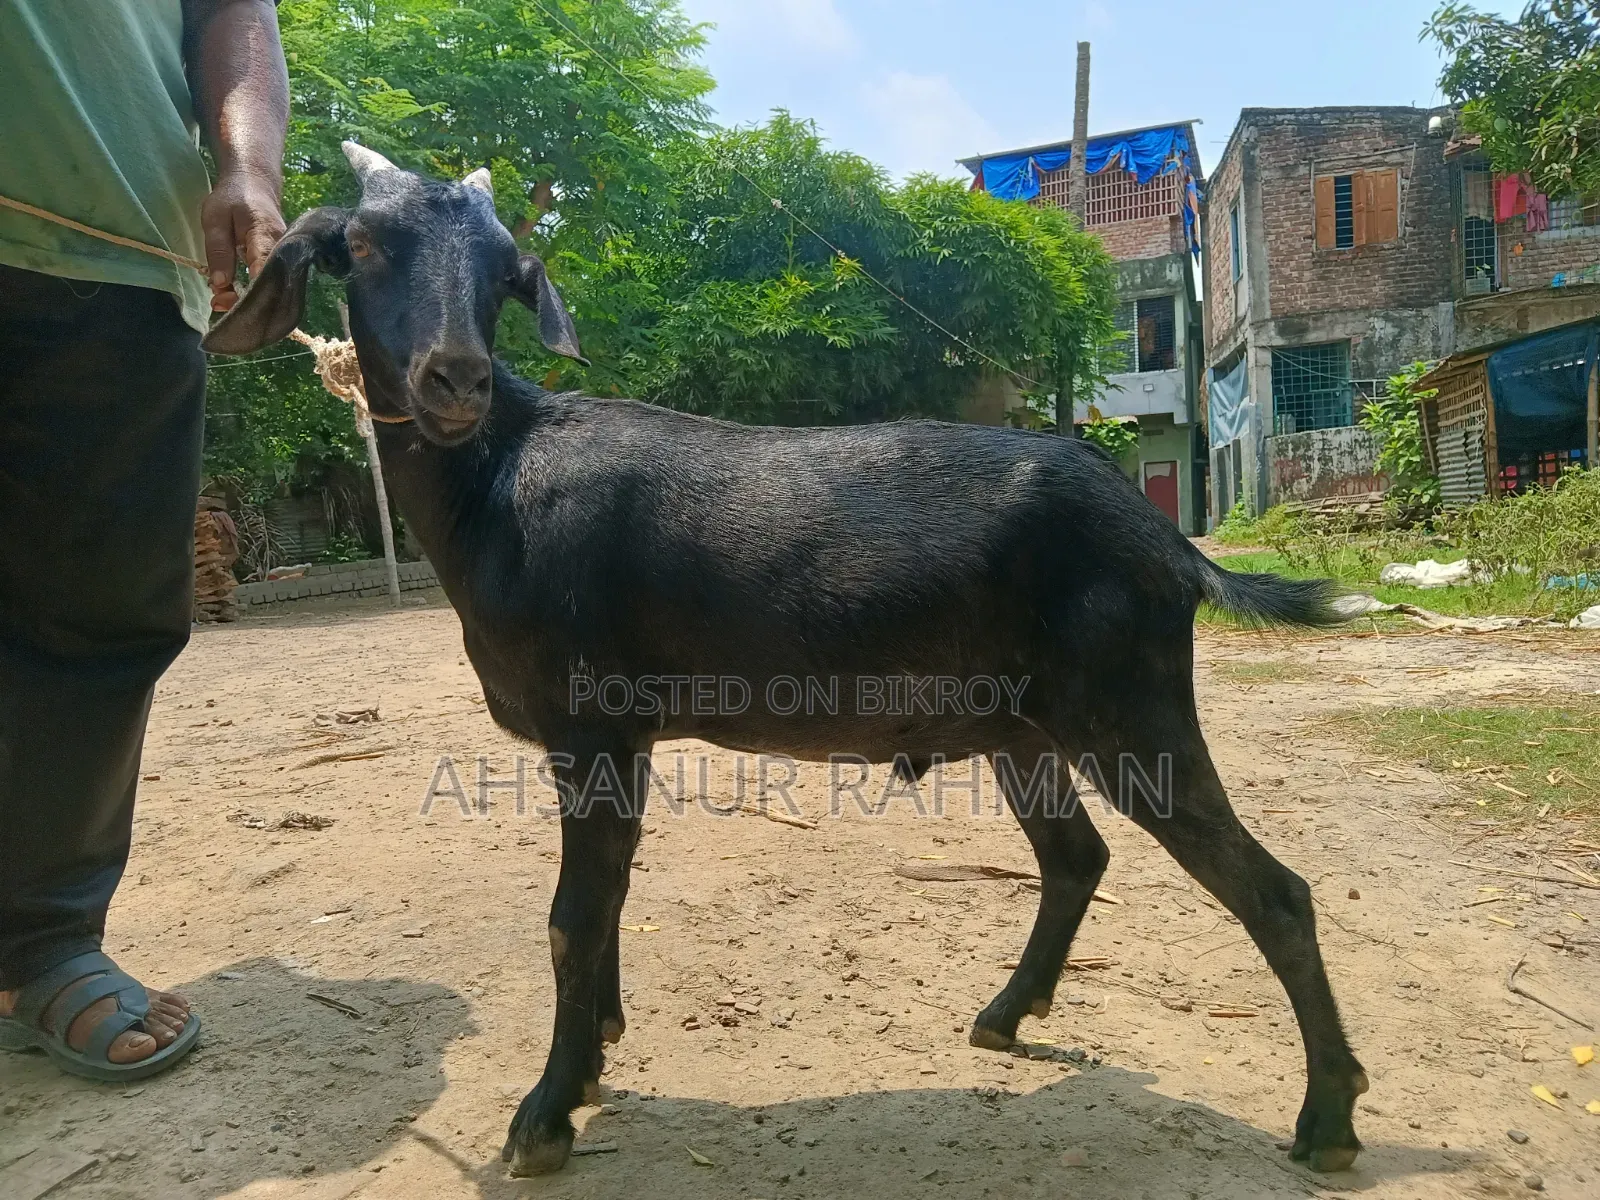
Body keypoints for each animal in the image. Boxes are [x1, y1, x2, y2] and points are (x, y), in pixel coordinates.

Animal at [204, 143, 1368, 1178]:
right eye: (363, 244)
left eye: (502, 270)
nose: (456, 378)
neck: (496, 481)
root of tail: (1166, 538)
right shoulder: (622, 738)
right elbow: (609, 897)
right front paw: (594, 1059)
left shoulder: (590, 724)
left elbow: (572, 917)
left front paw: (545, 1115)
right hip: (1021, 726)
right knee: (1076, 857)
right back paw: (1004, 1017)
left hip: (1127, 702)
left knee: (1273, 892)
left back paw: (1327, 1120)